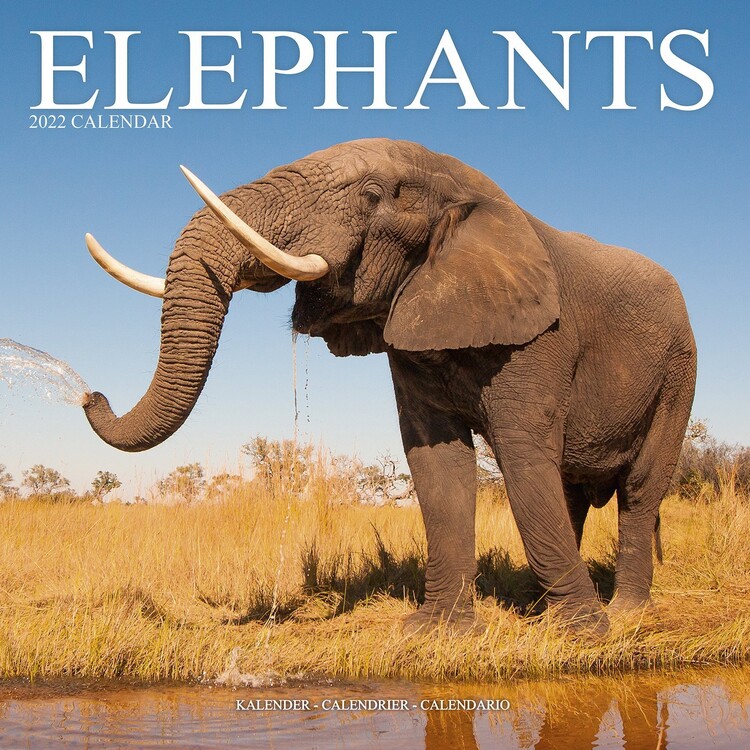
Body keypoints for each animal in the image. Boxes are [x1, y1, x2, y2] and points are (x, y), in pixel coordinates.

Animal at [82, 138, 696, 635]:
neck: (467, 187)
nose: (91, 395)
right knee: (570, 490)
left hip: (679, 373)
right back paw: (547, 604)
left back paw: (622, 613)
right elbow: (437, 461)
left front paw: (583, 635)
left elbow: (523, 457)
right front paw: (435, 632)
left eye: (373, 194)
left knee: (639, 488)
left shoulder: (542, 336)